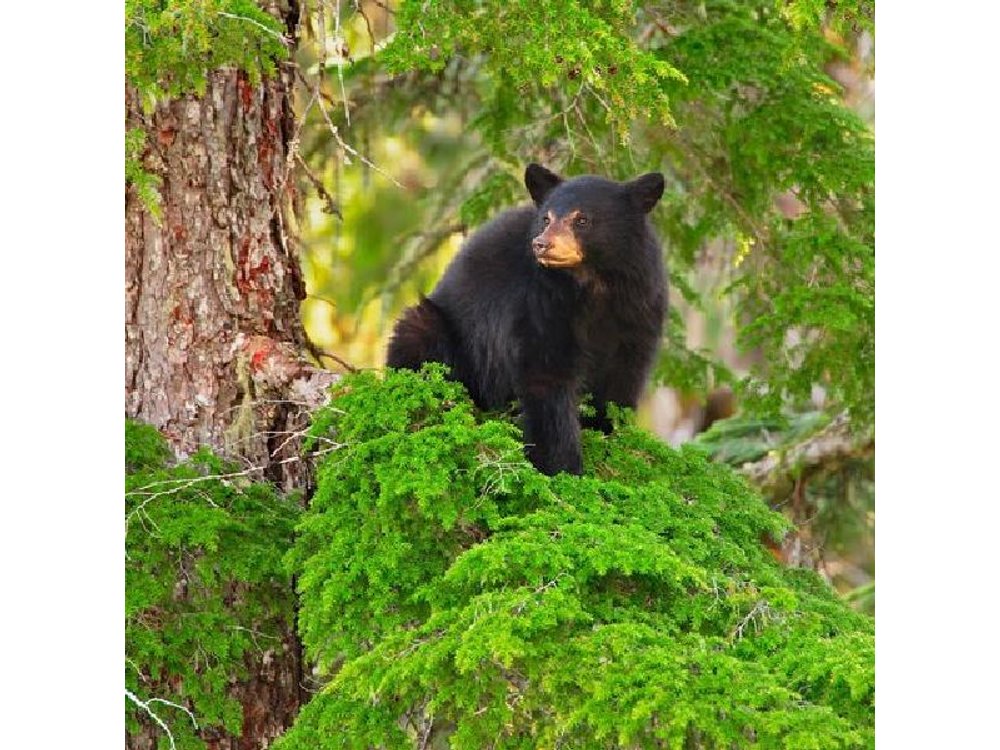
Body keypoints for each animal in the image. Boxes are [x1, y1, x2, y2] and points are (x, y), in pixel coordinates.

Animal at [386, 163, 667, 476]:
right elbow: (546, 376)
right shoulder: (539, 303)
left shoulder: (638, 311)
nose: (541, 244)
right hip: (439, 334)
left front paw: (609, 437)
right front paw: (564, 468)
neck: (593, 285)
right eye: (546, 218)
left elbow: (622, 380)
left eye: (582, 219)